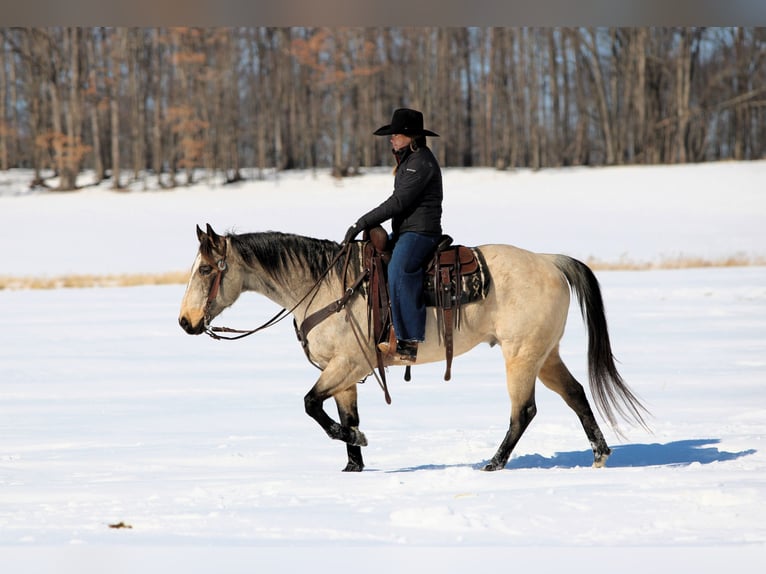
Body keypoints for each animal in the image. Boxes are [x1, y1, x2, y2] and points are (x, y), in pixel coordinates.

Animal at [178, 223, 649, 472]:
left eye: (206, 269)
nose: (186, 322)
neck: (324, 286)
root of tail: (550, 261)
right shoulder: (343, 374)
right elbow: (342, 414)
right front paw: (353, 464)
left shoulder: (347, 364)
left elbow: (312, 405)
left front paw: (359, 440)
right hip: (545, 354)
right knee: (576, 395)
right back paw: (600, 455)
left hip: (521, 356)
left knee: (524, 411)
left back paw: (494, 463)